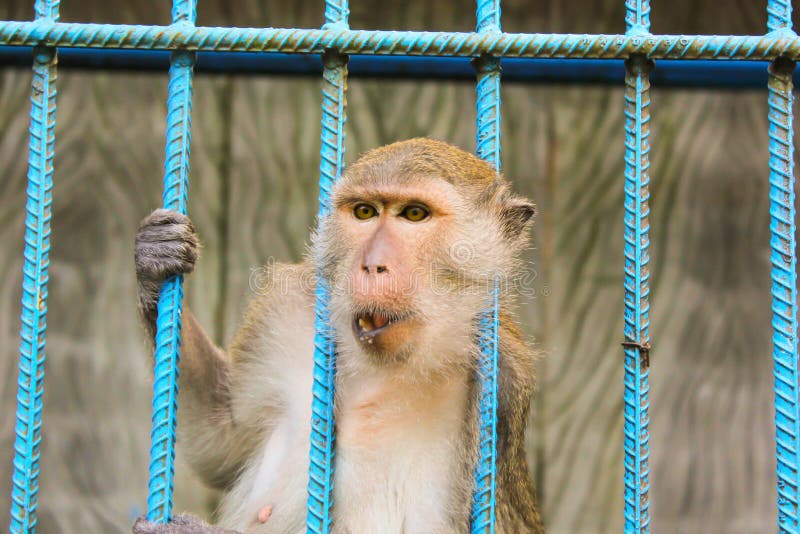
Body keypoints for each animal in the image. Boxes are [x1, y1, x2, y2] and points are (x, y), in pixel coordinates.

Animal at [132, 138, 543, 533]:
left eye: (414, 214)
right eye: (364, 212)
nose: (372, 264)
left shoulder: (502, 386)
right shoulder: (287, 311)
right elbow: (223, 442)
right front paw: (155, 261)